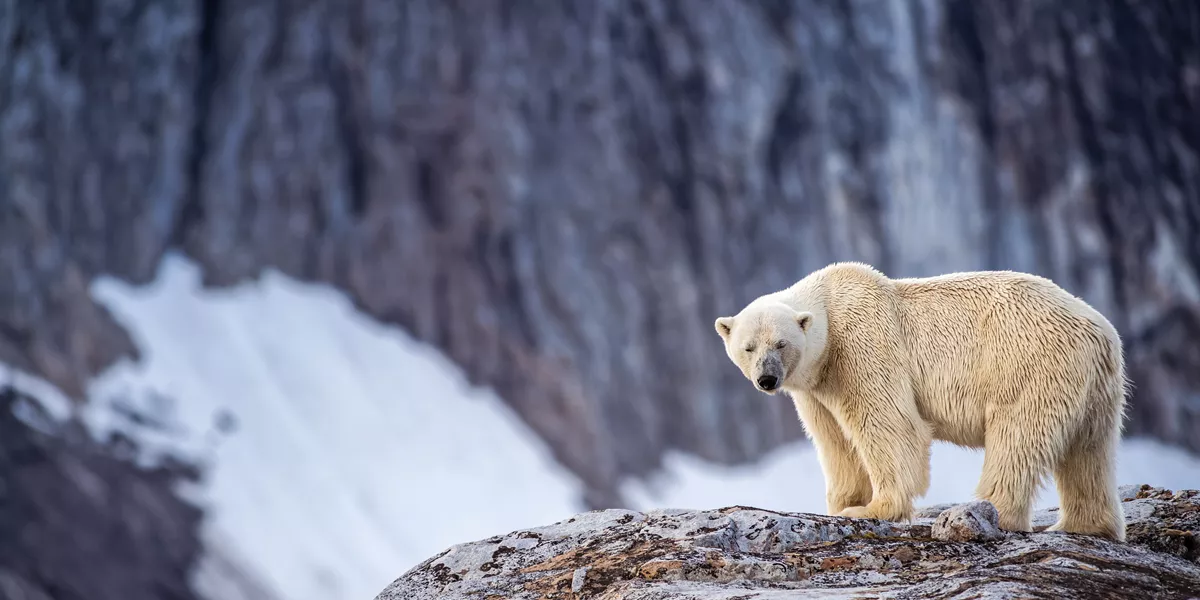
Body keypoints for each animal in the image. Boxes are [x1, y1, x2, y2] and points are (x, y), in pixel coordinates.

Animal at [714, 261, 1128, 541]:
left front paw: (872, 509)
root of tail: (1101, 333)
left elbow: (891, 425)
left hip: (1029, 363)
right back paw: (1085, 525)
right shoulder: (816, 387)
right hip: (1095, 388)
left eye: (781, 344)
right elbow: (835, 442)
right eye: (748, 347)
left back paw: (987, 512)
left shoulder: (863, 345)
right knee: (1089, 451)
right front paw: (841, 505)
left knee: (1018, 437)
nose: (767, 379)